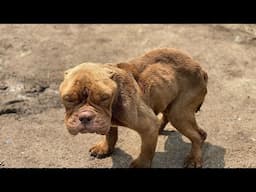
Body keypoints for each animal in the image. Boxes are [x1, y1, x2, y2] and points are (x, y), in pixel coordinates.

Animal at [59, 48, 208, 168]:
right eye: (68, 99)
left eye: (104, 98)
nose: (85, 117)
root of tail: (201, 69)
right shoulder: (108, 120)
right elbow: (110, 134)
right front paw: (105, 148)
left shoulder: (148, 126)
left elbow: (146, 149)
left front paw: (141, 164)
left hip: (179, 114)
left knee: (195, 135)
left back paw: (194, 158)